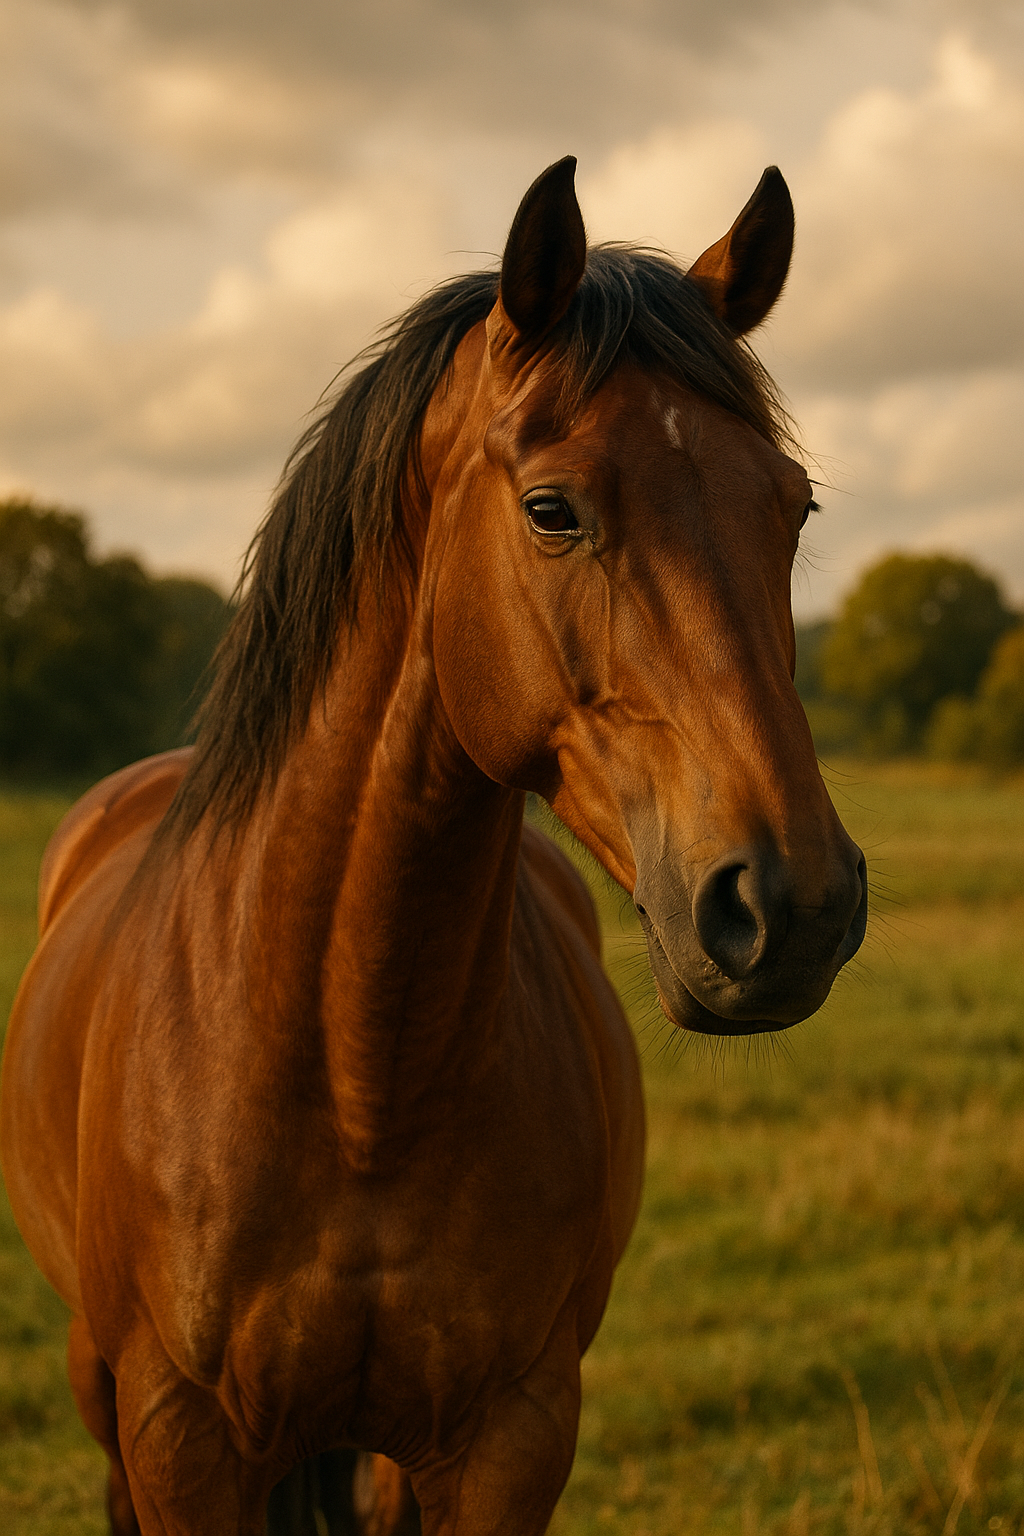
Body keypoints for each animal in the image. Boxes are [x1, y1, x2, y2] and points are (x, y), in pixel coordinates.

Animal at [0, 157, 867, 1536]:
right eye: (551, 510)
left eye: (792, 507)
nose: (791, 908)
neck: (355, 1078)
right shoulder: (178, 1439)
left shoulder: (510, 1437)